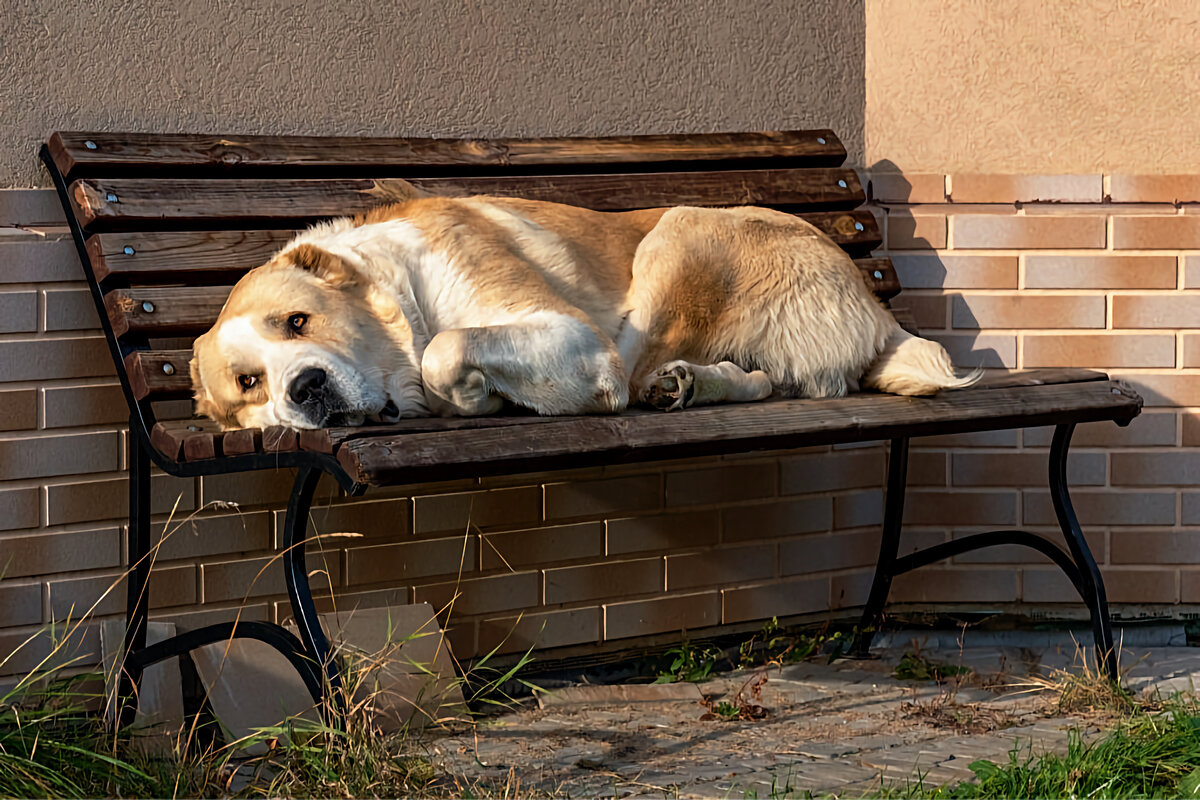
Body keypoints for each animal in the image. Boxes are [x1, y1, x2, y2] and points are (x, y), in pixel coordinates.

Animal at [184, 183, 974, 431]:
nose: (305, 388)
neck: (403, 287)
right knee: (768, 380)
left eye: (298, 322)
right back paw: (689, 385)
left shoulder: (565, 330)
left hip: (678, 232)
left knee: (626, 374)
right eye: (249, 383)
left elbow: (446, 351)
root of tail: (877, 307)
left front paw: (471, 396)